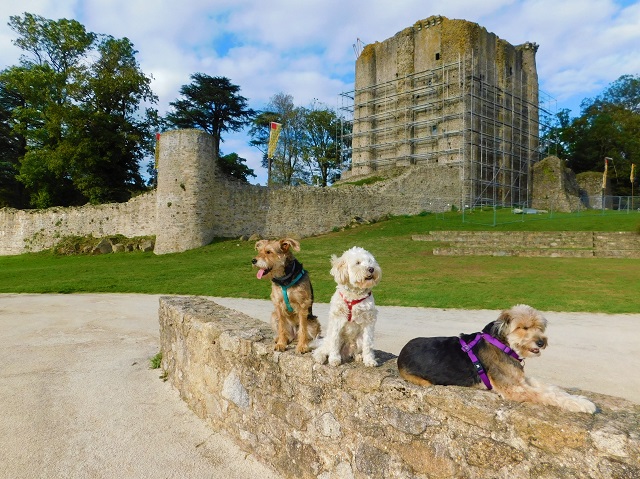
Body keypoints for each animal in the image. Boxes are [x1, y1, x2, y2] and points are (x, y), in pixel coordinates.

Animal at [398, 306, 596, 414]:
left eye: (540, 327)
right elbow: (546, 395)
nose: (541, 342)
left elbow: (551, 388)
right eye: (524, 327)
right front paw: (583, 404)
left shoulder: (520, 379)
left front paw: (577, 398)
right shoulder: (513, 389)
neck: (504, 344)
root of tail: (401, 352)